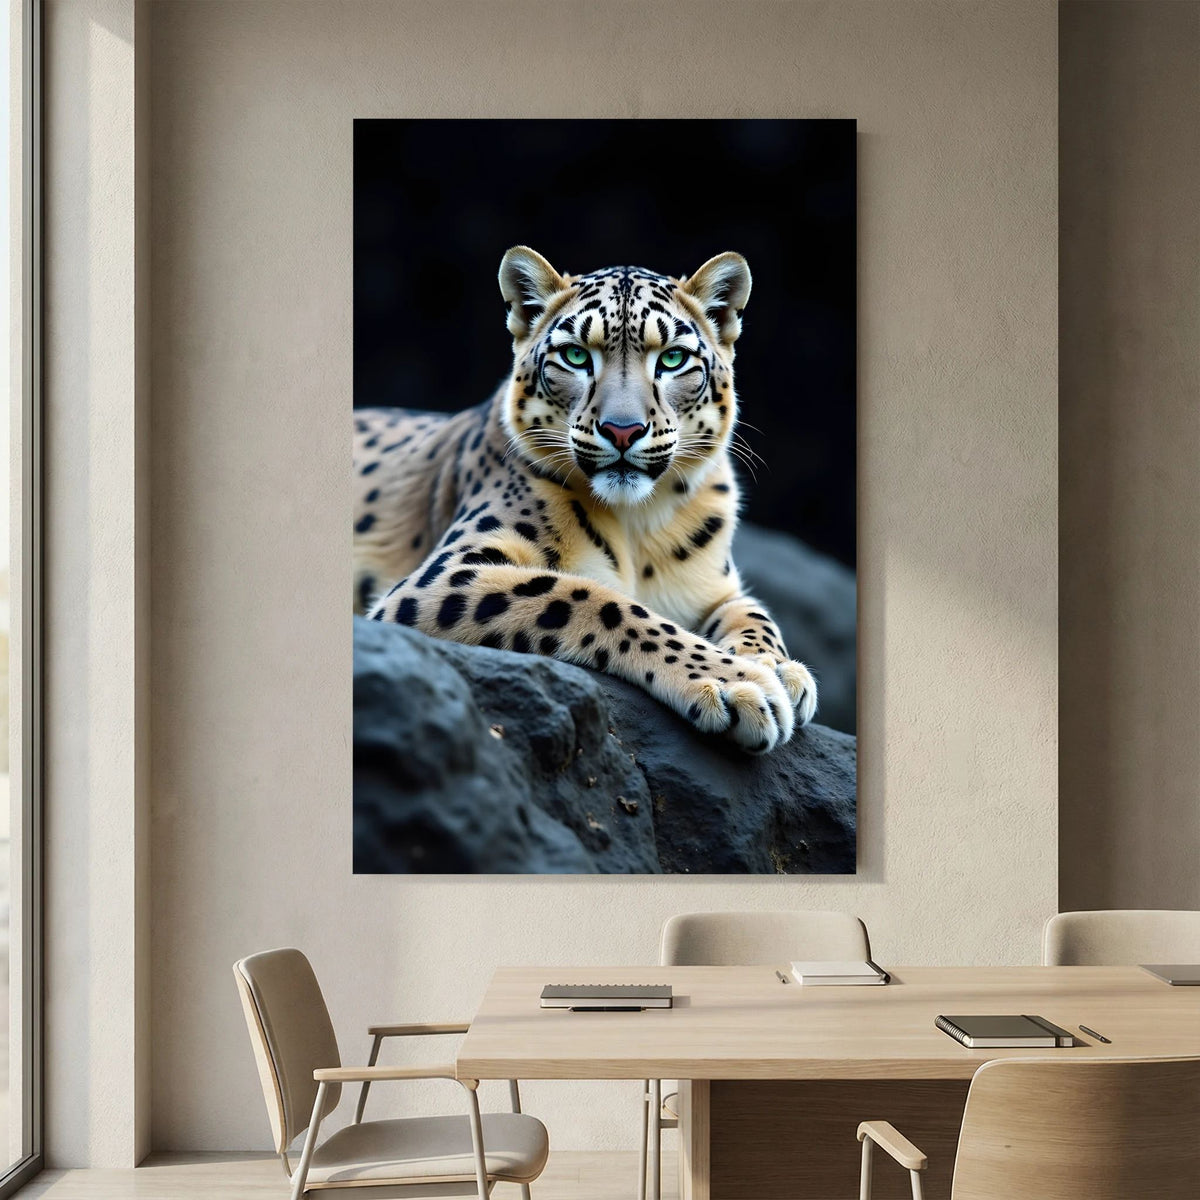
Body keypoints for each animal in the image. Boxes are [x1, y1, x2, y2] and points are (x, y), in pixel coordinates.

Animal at [353, 246, 817, 753]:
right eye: (576, 355)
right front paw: (740, 682)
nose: (623, 429)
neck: (639, 525)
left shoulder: (715, 588)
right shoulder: (445, 574)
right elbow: (589, 597)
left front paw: (779, 668)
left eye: (673, 358)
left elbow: (755, 614)